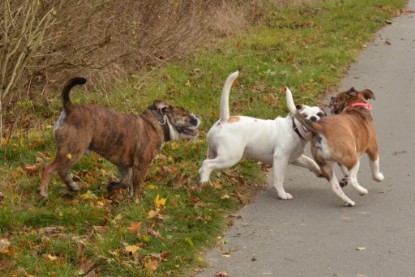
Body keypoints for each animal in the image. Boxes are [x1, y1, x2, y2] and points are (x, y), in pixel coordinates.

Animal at [200, 70, 326, 198]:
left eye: (320, 114)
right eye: (304, 116)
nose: (313, 119)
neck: (294, 129)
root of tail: (225, 120)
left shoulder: (295, 157)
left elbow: (310, 162)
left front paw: (319, 171)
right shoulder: (280, 159)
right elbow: (279, 179)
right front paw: (282, 194)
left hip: (214, 152)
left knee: (204, 166)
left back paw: (206, 183)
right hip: (230, 157)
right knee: (207, 164)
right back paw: (204, 183)